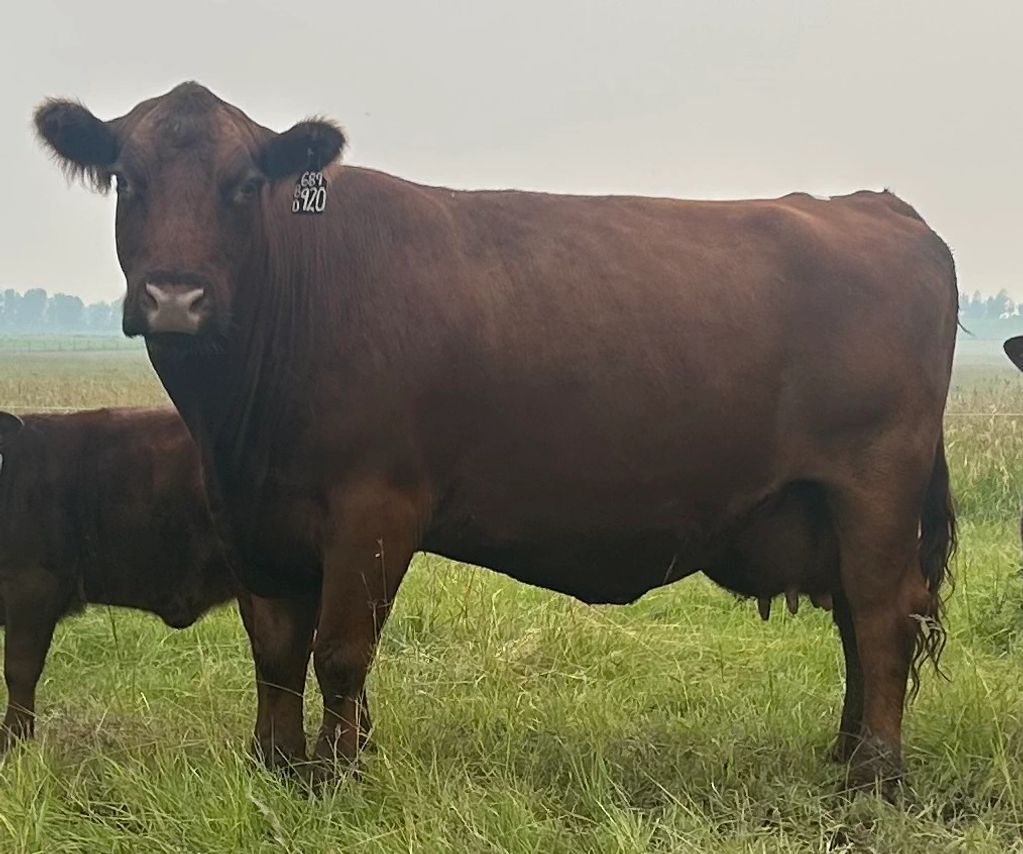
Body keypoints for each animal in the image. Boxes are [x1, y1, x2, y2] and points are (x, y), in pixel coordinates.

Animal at [33, 82, 958, 793]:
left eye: (244, 182)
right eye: (126, 180)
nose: (175, 297)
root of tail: (877, 207)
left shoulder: (375, 509)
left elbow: (340, 653)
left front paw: (335, 778)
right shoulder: (250, 521)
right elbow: (274, 653)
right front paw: (273, 767)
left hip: (873, 484)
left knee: (881, 615)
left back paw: (874, 776)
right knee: (855, 620)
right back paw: (842, 755)